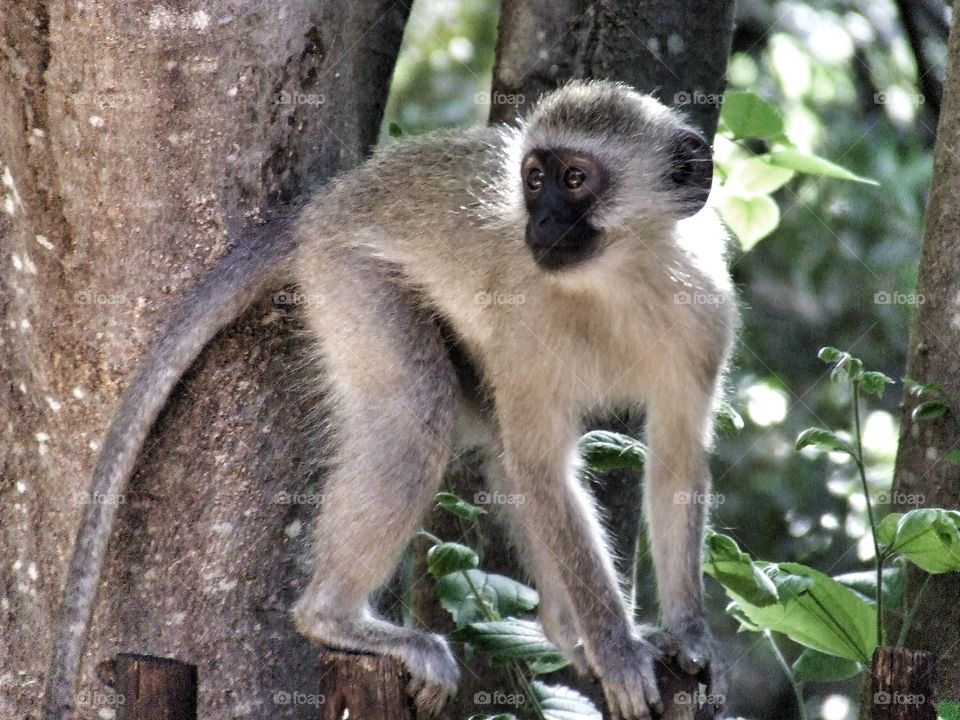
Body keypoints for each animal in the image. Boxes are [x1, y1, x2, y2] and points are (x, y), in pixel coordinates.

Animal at [44, 79, 736, 720]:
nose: (538, 223)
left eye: (576, 178)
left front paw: (689, 637)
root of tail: (328, 201)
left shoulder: (706, 316)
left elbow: (676, 460)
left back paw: (567, 634)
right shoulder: (525, 325)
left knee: (491, 442)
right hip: (345, 276)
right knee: (417, 408)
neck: (616, 281)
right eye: (534, 178)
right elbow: (542, 467)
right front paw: (617, 649)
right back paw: (336, 618)